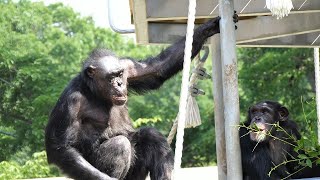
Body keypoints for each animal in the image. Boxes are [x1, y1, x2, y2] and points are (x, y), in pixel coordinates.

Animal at [44, 15, 238, 180]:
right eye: (110, 77)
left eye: (119, 74)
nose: (119, 84)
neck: (94, 91)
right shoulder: (71, 102)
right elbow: (61, 147)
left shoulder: (128, 67)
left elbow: (157, 68)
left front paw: (209, 27)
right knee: (120, 144)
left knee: (150, 136)